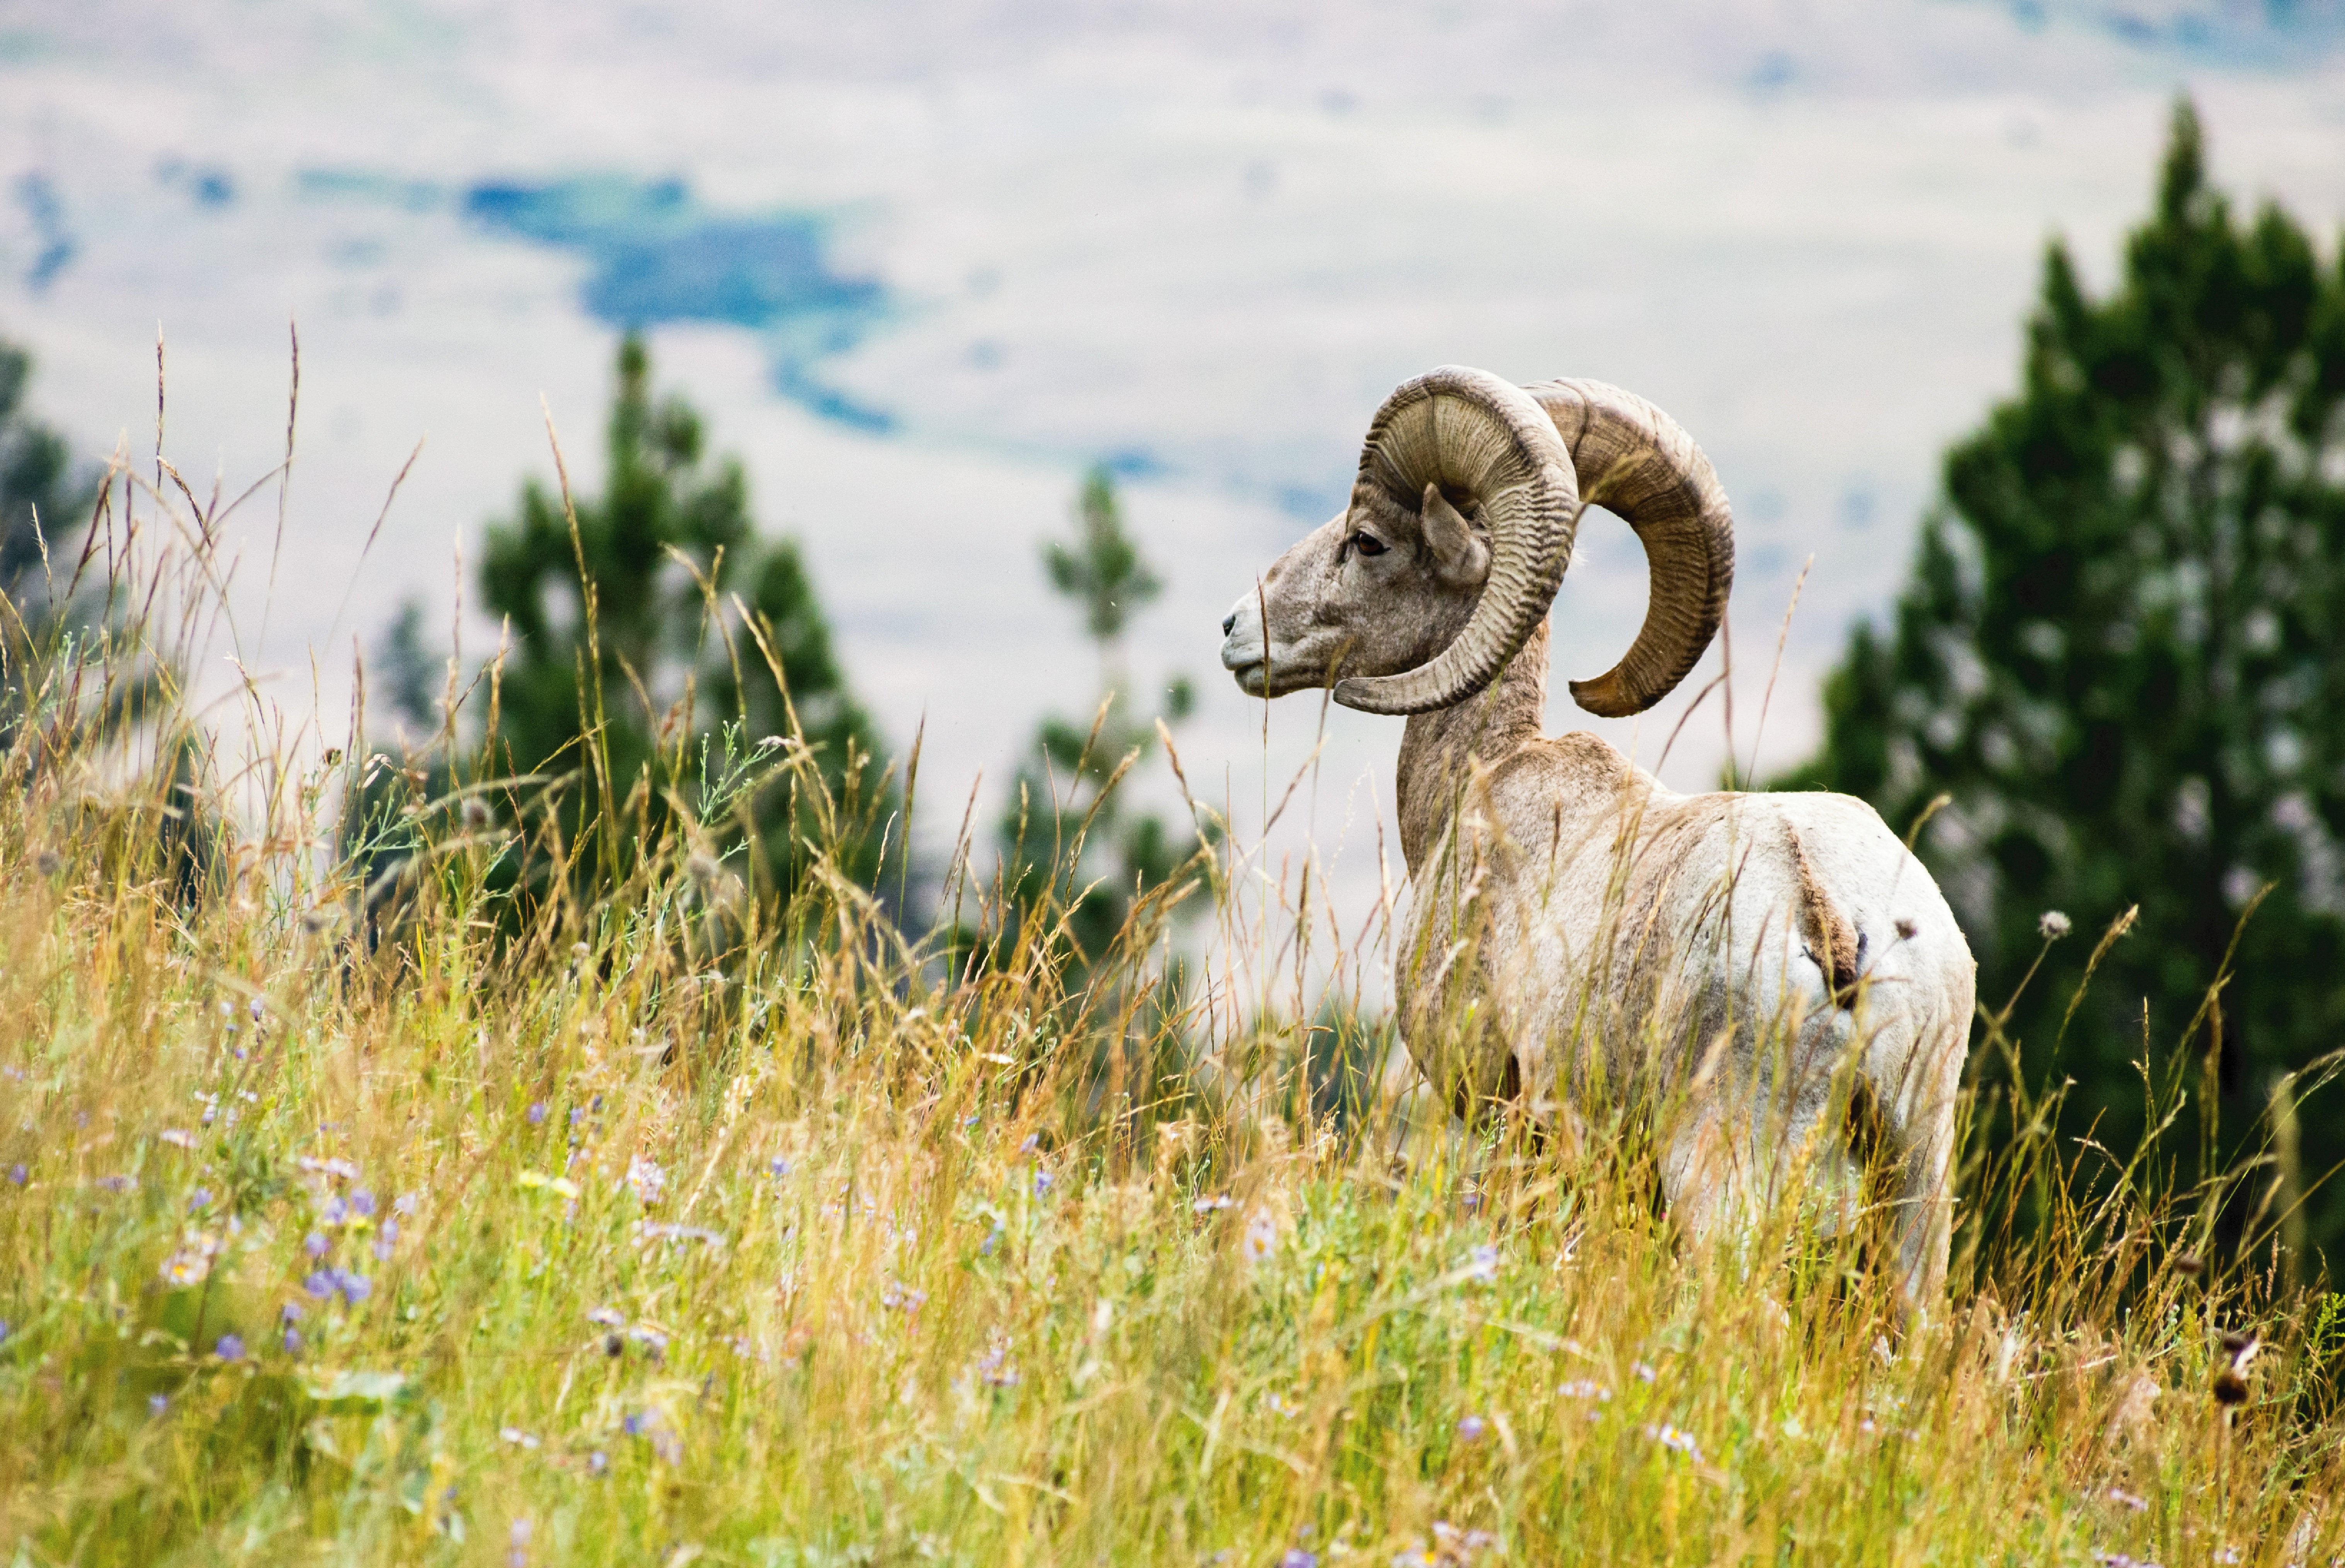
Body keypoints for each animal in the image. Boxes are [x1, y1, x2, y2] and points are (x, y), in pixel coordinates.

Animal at [1229, 370, 1979, 1312]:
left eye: (1367, 541)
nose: (1236, 632)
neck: (1483, 783)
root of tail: (1831, 924)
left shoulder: (1513, 1111)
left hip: (1721, 1168)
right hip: (1914, 1182)